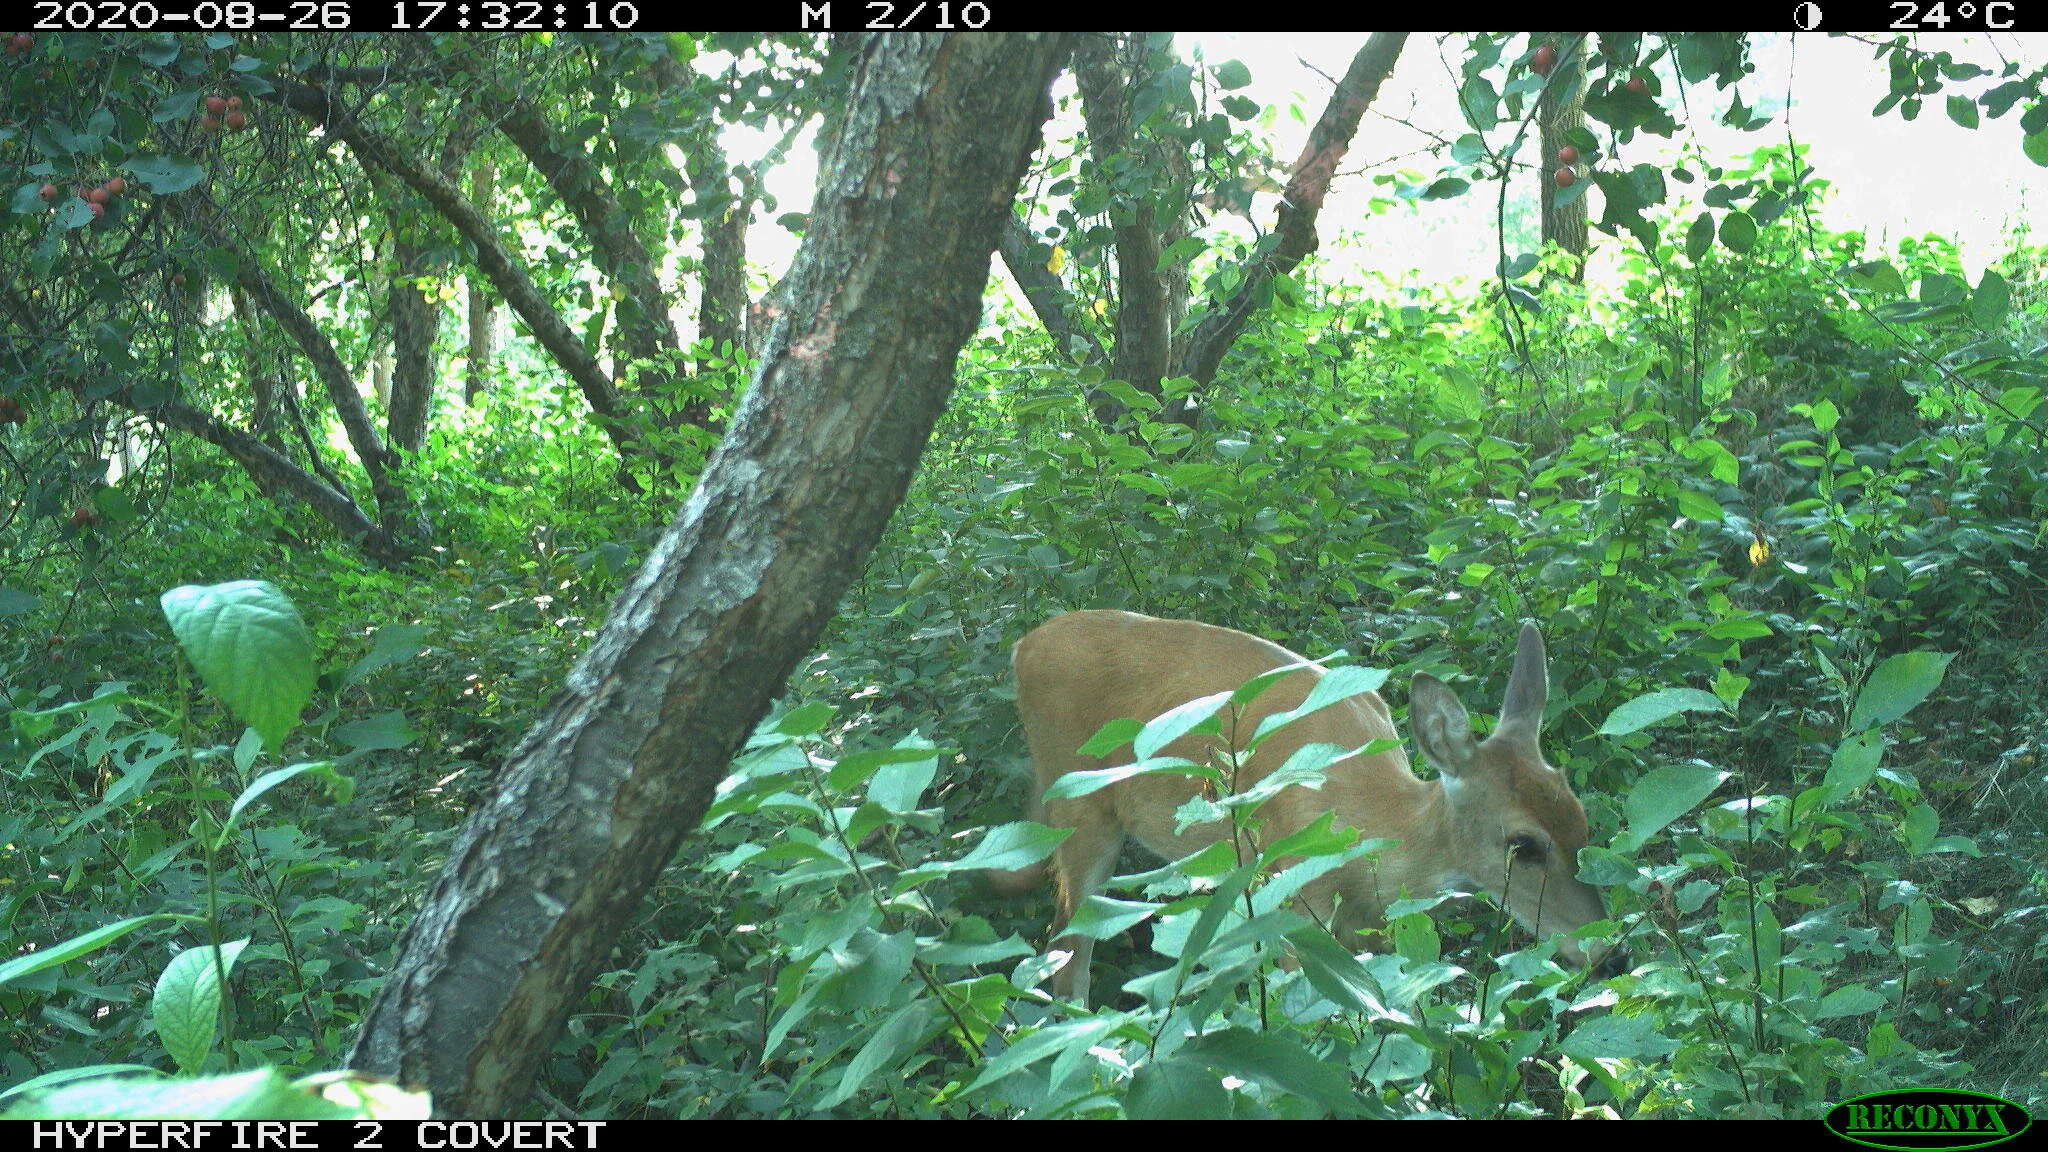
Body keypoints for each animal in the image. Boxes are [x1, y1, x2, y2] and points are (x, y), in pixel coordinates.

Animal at [1006, 609, 1625, 1004]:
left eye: (1582, 822)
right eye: (1523, 844)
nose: (1611, 954)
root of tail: (1024, 645)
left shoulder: (1374, 927)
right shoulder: (1292, 901)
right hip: (1079, 807)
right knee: (1068, 948)